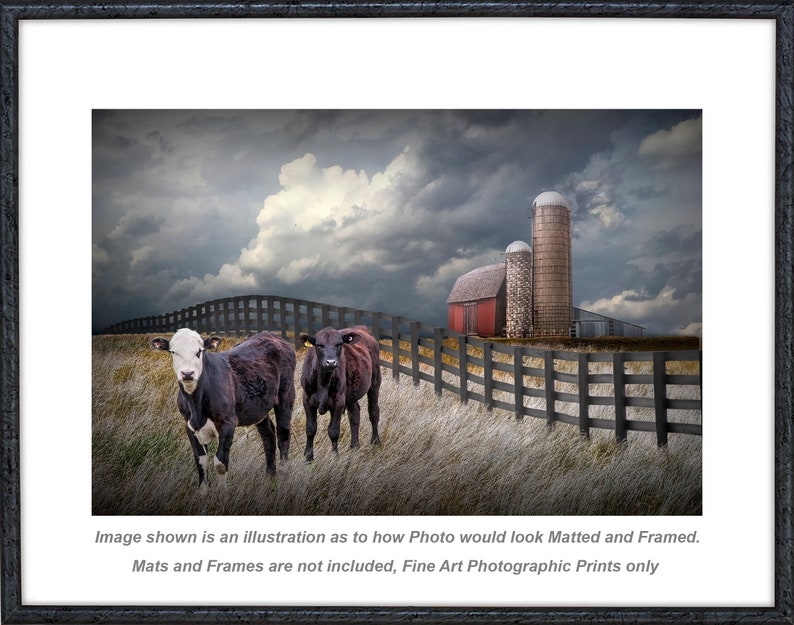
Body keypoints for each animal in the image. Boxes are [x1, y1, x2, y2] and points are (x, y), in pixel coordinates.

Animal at [151, 326, 294, 492]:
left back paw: (283, 476)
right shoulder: (189, 425)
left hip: (286, 395)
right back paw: (270, 478)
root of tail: (271, 335)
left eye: (199, 351)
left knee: (283, 434)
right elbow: (201, 461)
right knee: (268, 435)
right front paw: (203, 492)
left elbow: (220, 462)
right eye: (173, 352)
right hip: (259, 408)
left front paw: (222, 493)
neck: (197, 405)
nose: (187, 373)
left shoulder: (227, 423)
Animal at [298, 324, 382, 460]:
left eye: (339, 344)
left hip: (375, 382)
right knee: (354, 414)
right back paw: (355, 446)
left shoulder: (338, 402)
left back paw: (375, 442)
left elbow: (333, 431)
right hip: (352, 393)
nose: (331, 362)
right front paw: (308, 457)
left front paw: (335, 456)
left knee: (373, 412)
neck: (323, 383)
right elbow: (310, 429)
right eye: (319, 345)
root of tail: (361, 328)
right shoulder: (307, 400)